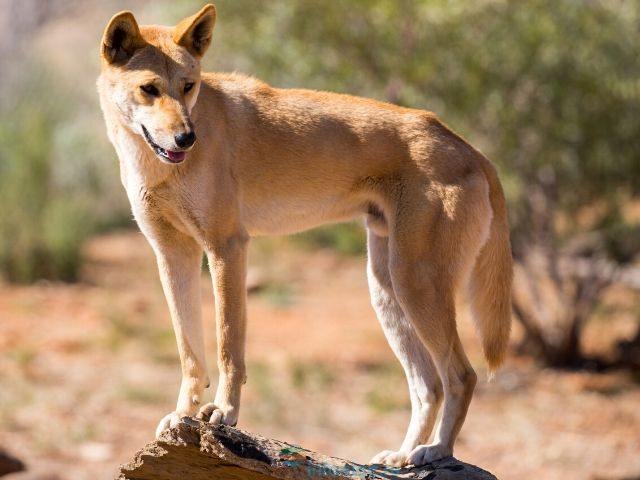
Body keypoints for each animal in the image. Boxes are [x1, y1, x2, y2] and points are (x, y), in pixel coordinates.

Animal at [97, 3, 512, 466]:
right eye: (149, 89)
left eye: (189, 87)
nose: (186, 137)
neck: (156, 165)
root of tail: (470, 149)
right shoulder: (173, 254)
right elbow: (190, 354)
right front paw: (183, 414)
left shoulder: (227, 246)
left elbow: (227, 346)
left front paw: (224, 412)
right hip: (387, 289)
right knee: (428, 385)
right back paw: (402, 456)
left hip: (416, 282)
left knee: (461, 375)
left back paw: (435, 451)